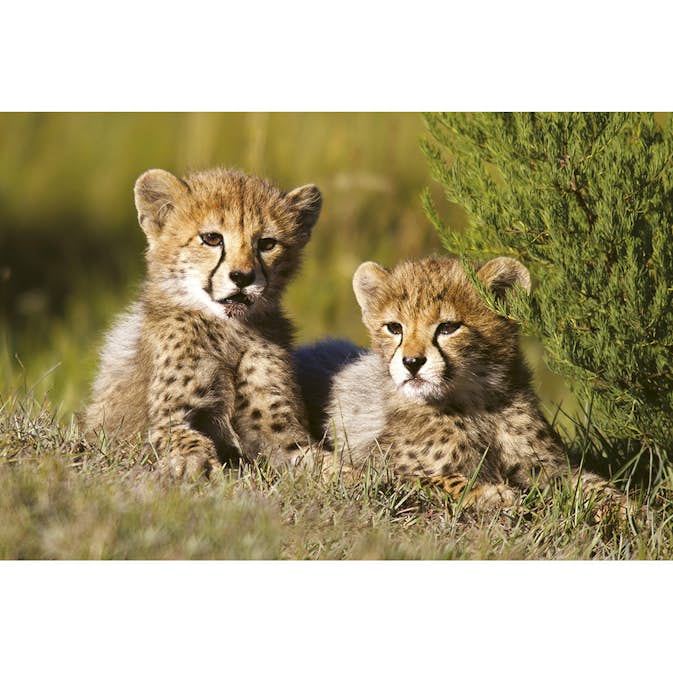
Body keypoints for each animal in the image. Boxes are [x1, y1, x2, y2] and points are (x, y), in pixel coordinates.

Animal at [84, 166, 322, 478]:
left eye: (267, 244)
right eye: (212, 239)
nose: (243, 277)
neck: (229, 330)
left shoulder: (280, 433)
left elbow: (321, 459)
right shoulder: (168, 420)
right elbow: (187, 439)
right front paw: (196, 465)